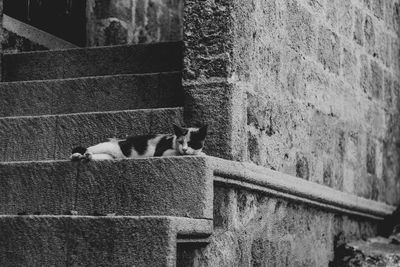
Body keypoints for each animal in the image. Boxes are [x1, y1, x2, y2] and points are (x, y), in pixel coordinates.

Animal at [70, 124, 208, 161]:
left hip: (108, 156)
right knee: (87, 148)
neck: (173, 141)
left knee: (93, 155)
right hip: (104, 146)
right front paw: (198, 154)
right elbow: (177, 153)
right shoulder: (161, 152)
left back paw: (84, 157)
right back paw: (77, 155)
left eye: (191, 143)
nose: (184, 149)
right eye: (180, 142)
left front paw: (201, 153)